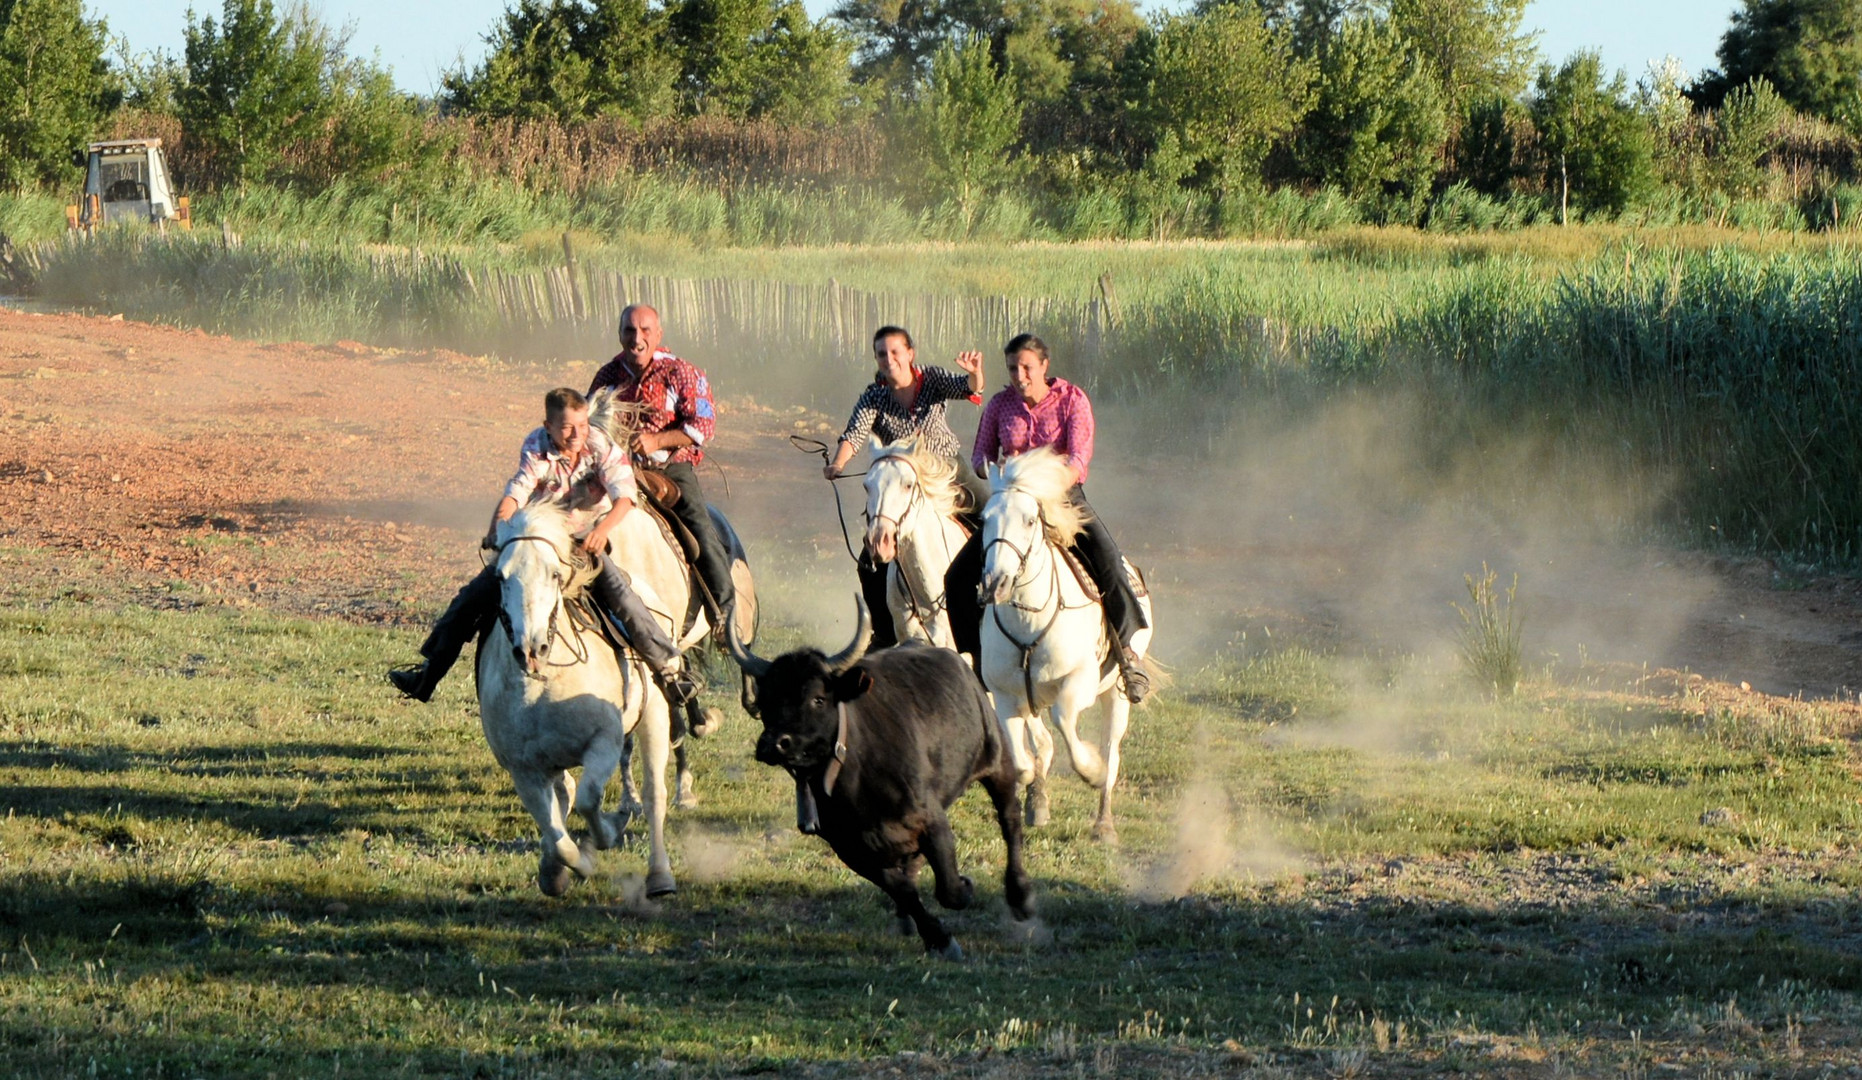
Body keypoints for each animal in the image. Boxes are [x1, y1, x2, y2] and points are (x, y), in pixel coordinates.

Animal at [476, 502, 681, 897]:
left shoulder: (604, 743)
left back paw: (660, 876)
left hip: (654, 718)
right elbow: (558, 837)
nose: (531, 649)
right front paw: (563, 869)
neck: (541, 688)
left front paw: (609, 832)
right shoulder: (524, 770)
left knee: (653, 795)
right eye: (501, 577)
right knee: (565, 794)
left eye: (555, 574)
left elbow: (589, 801)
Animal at [733, 599, 1042, 960]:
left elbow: (949, 888)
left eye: (817, 698)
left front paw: (964, 892)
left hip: (997, 761)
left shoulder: (932, 820)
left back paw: (1021, 896)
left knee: (1010, 821)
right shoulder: (851, 849)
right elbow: (903, 890)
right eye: (766, 700)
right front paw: (938, 937)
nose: (774, 743)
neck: (857, 781)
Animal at [975, 446, 1146, 845]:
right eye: (986, 518)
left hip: (1116, 695)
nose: (997, 583)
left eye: (1028, 521)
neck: (1029, 620)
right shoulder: (1005, 695)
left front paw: (1090, 771)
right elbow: (1023, 758)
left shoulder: (1078, 681)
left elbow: (1064, 721)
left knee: (1112, 752)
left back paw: (1104, 824)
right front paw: (1032, 796)